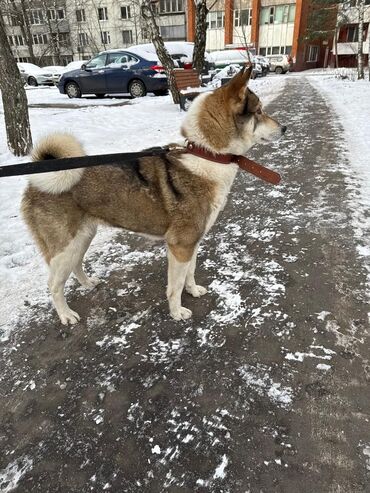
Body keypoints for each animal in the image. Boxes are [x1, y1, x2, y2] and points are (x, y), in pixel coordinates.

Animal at [21, 67, 286, 324]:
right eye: (259, 111)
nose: (285, 128)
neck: (207, 155)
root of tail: (36, 181)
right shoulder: (180, 246)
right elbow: (175, 285)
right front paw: (177, 312)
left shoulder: (192, 242)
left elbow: (190, 273)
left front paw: (192, 291)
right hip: (65, 247)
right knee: (54, 285)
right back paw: (66, 315)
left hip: (82, 237)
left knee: (76, 265)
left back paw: (87, 284)